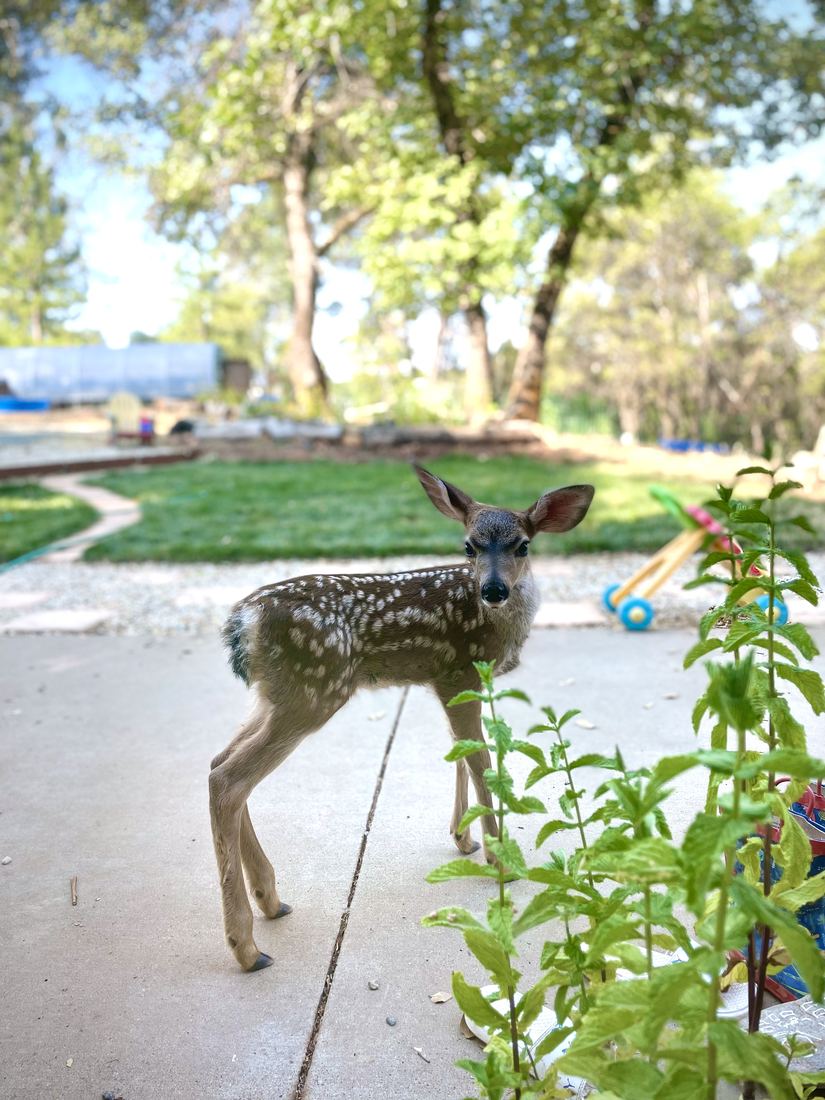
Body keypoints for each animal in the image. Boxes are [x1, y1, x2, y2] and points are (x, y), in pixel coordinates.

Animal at [209, 464, 594, 971]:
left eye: (523, 546)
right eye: (469, 546)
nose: (493, 589)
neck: (497, 623)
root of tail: (243, 622)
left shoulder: (449, 680)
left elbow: (460, 753)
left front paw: (464, 839)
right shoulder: (459, 669)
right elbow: (481, 760)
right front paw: (501, 859)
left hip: (275, 695)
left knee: (220, 762)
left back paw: (271, 900)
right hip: (313, 691)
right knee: (230, 780)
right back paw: (247, 948)